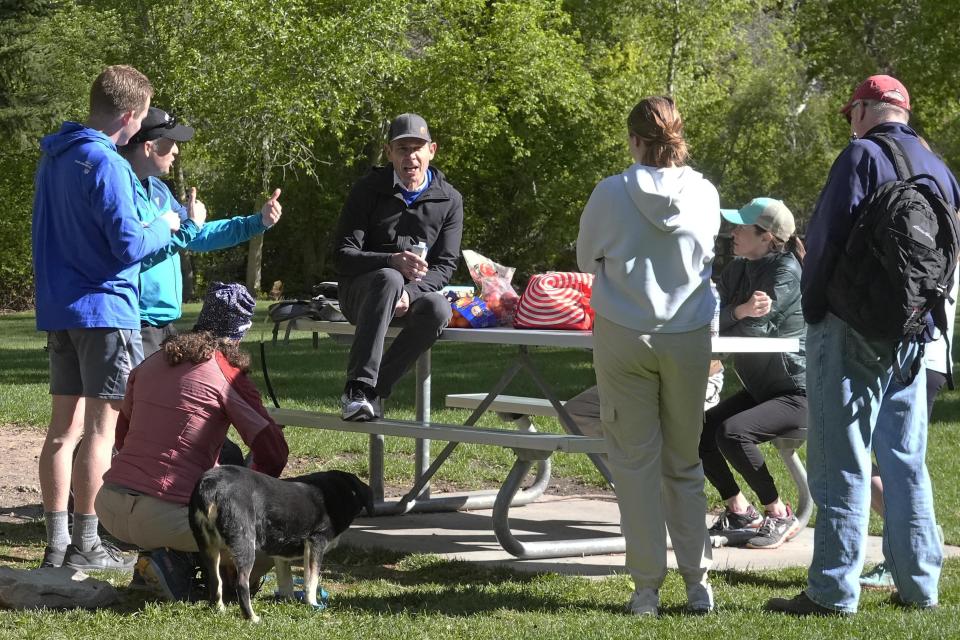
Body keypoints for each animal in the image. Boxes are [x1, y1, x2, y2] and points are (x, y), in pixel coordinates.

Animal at [187, 462, 372, 624]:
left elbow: (286, 582)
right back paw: (252, 618)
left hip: (208, 548)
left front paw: (288, 602)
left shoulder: (281, 554)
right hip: (244, 543)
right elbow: (311, 581)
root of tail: (211, 485)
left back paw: (219, 609)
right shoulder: (316, 542)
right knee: (241, 584)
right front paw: (313, 604)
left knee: (216, 581)